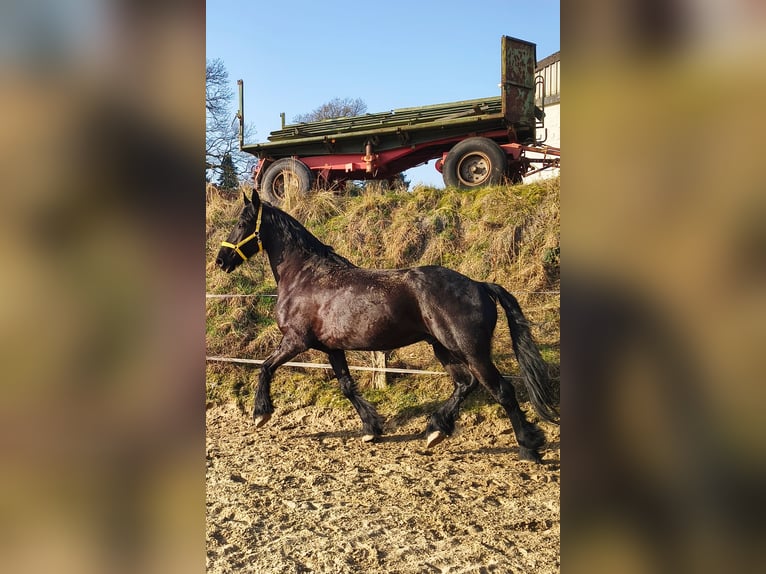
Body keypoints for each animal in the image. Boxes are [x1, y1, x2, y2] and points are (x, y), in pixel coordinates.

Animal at [215, 191, 559, 462]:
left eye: (243, 223)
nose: (220, 260)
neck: (305, 276)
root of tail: (479, 284)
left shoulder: (296, 340)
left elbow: (265, 367)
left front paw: (261, 413)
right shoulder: (332, 348)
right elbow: (347, 386)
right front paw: (371, 428)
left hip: (470, 350)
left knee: (501, 390)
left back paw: (529, 447)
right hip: (442, 347)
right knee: (465, 384)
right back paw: (435, 430)